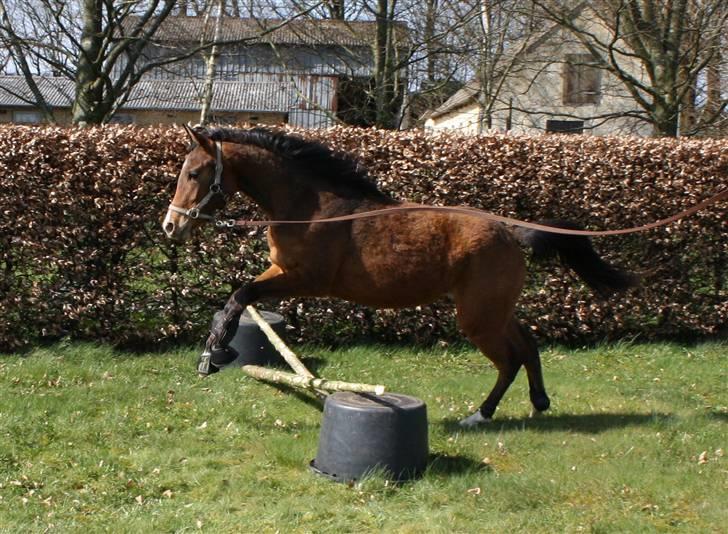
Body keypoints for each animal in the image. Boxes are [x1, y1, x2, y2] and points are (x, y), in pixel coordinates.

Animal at [163, 125, 637, 427]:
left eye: (193, 173)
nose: (171, 226)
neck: (309, 206)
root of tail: (509, 231)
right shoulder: (281, 269)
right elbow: (235, 296)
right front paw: (215, 348)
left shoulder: (306, 279)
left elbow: (241, 294)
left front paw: (214, 355)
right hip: (493, 309)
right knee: (527, 344)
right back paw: (536, 402)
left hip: (478, 317)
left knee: (510, 359)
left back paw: (480, 415)